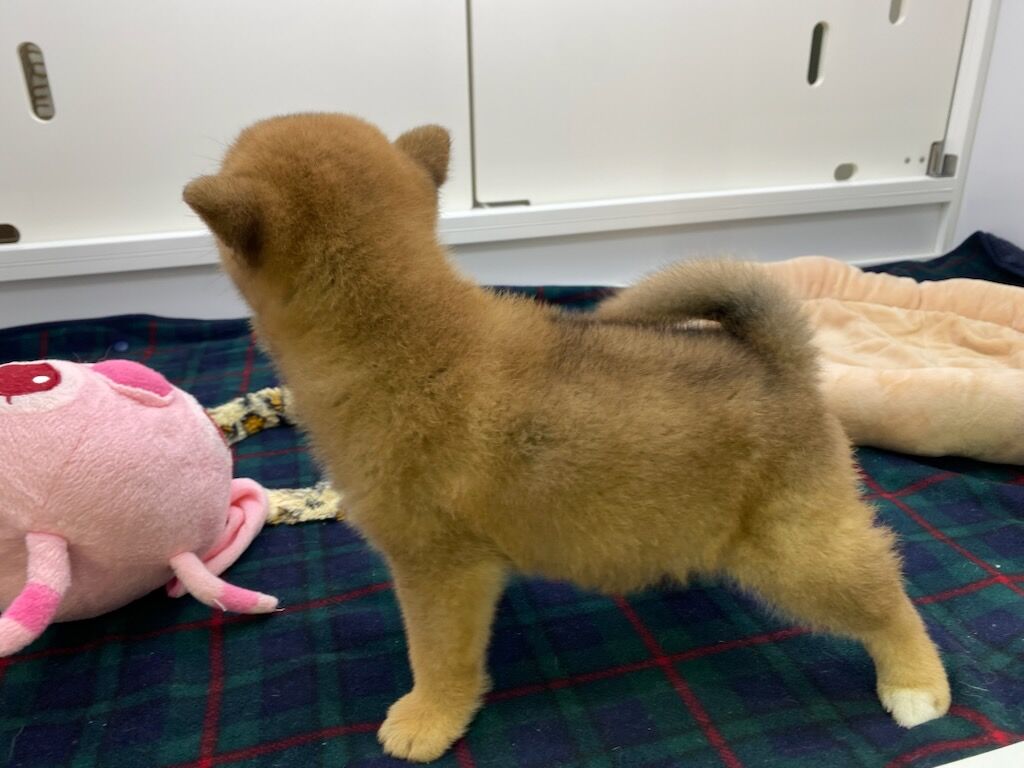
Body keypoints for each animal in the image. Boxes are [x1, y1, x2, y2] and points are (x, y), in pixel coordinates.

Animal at [184, 113, 949, 763]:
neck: (397, 337)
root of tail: (778, 363)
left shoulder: (438, 569)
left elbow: (437, 658)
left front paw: (429, 718)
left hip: (796, 552)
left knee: (888, 598)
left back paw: (917, 684)